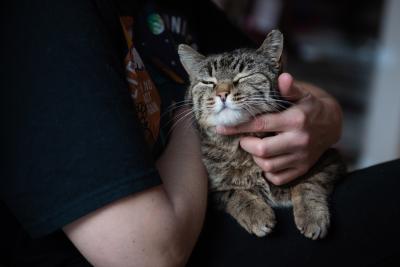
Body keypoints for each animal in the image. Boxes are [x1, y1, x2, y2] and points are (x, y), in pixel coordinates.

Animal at [177, 29, 346, 241]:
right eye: (208, 82)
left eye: (244, 76)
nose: (222, 94)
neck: (241, 147)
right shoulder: (212, 192)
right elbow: (234, 193)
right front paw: (256, 214)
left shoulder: (331, 161)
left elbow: (309, 183)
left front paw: (311, 215)